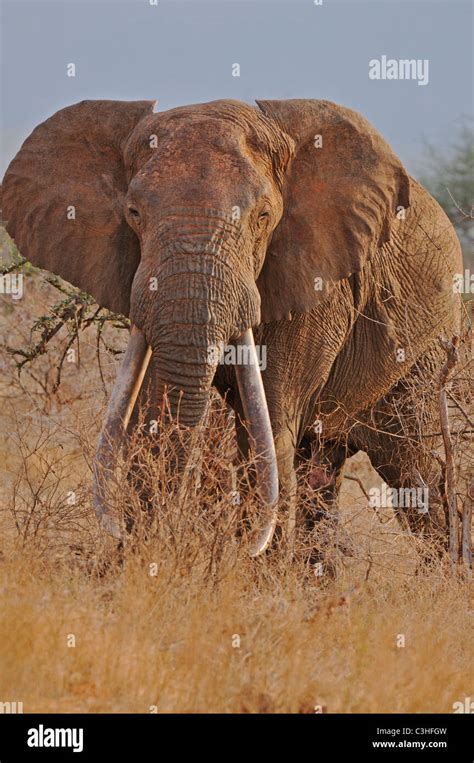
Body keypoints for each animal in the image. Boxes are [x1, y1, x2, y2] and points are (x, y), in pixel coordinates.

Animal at [2, 98, 462, 560]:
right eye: (133, 214)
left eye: (263, 216)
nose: (127, 539)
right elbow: (157, 408)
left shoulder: (318, 283)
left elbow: (269, 427)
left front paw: (255, 568)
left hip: (425, 356)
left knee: (415, 472)